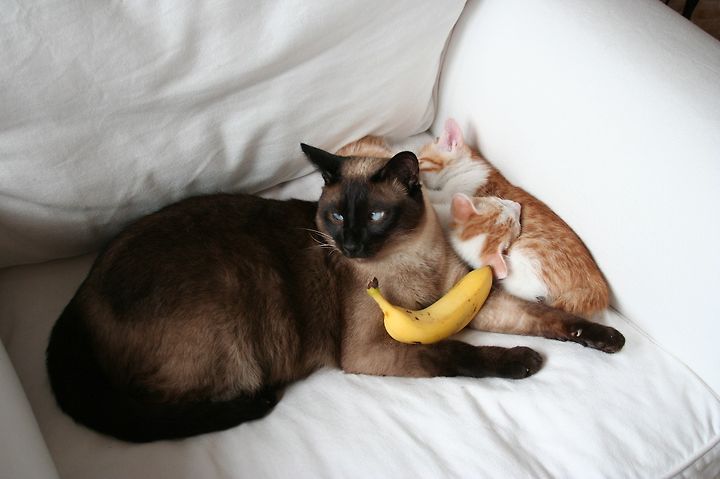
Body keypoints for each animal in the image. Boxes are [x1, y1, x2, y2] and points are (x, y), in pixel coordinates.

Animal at [46, 138, 555, 443]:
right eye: (336, 215)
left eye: (375, 217)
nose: (349, 245)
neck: (412, 260)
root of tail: (79, 295)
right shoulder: (373, 350)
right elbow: (456, 354)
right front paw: (524, 362)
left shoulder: (462, 299)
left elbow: (535, 317)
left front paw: (580, 335)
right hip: (235, 299)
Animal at [419, 119, 611, 317]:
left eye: (420, 160)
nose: (415, 161)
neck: (466, 168)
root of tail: (598, 290)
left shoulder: (455, 193)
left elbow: (437, 198)